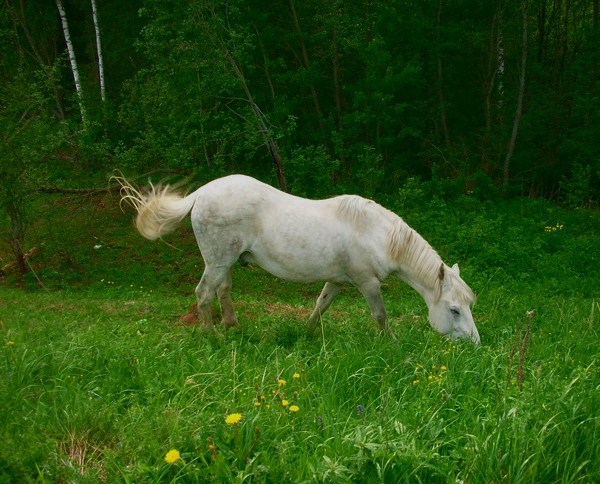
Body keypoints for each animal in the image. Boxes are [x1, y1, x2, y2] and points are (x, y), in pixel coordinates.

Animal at [118, 174, 478, 344]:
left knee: (223, 291)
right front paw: (392, 344)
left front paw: (305, 333)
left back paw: (232, 326)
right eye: (454, 310)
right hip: (217, 261)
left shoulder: (337, 280)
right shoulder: (367, 283)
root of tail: (201, 193)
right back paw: (211, 337)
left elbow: (321, 305)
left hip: (225, 262)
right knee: (204, 294)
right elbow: (380, 316)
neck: (376, 233)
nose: (475, 344)